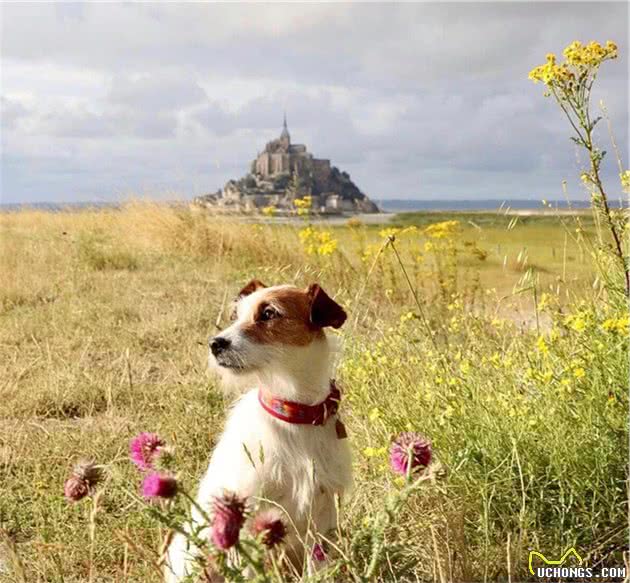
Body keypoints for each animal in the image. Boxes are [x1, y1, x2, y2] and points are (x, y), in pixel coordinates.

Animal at [165, 280, 354, 580]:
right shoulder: (251, 515)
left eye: (268, 313)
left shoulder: (323, 515)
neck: (295, 414)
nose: (215, 343)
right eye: (236, 315)